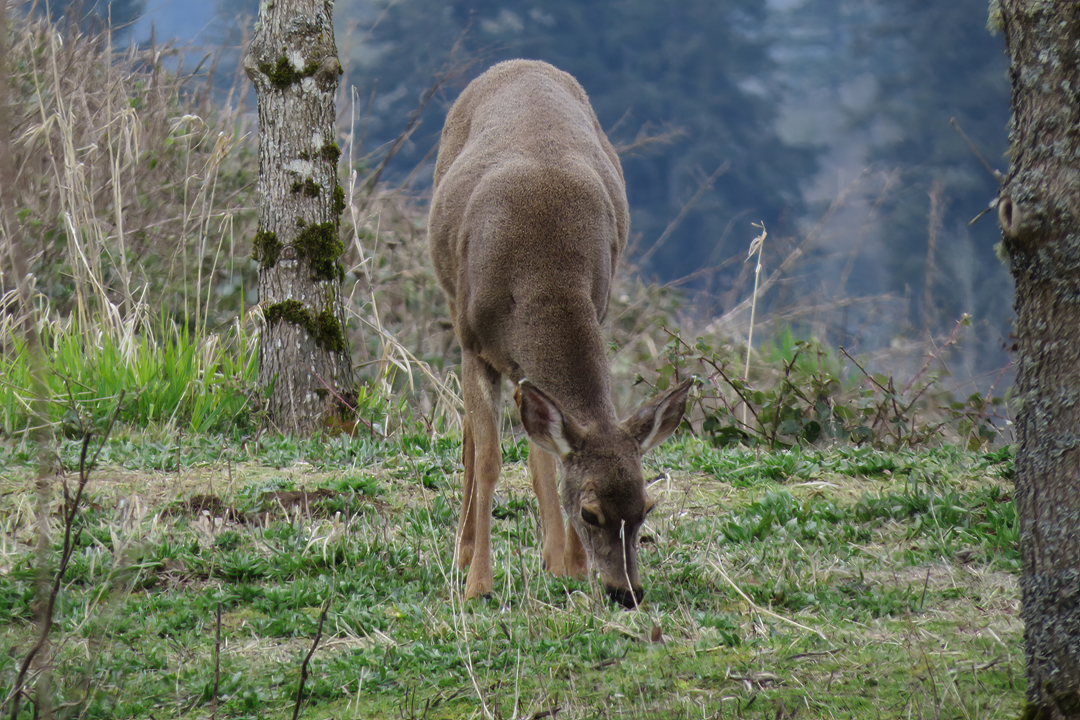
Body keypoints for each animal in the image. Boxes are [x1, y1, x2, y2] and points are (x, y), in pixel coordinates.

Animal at [428, 59, 693, 609]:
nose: (626, 591)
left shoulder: (598, 303)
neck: (544, 277)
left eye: (645, 508)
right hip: (453, 301)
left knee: (539, 446)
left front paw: (570, 564)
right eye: (591, 512)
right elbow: (488, 459)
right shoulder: (473, 341)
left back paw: (556, 556)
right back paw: (463, 549)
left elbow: (548, 452)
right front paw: (478, 583)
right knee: (471, 442)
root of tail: (519, 62)